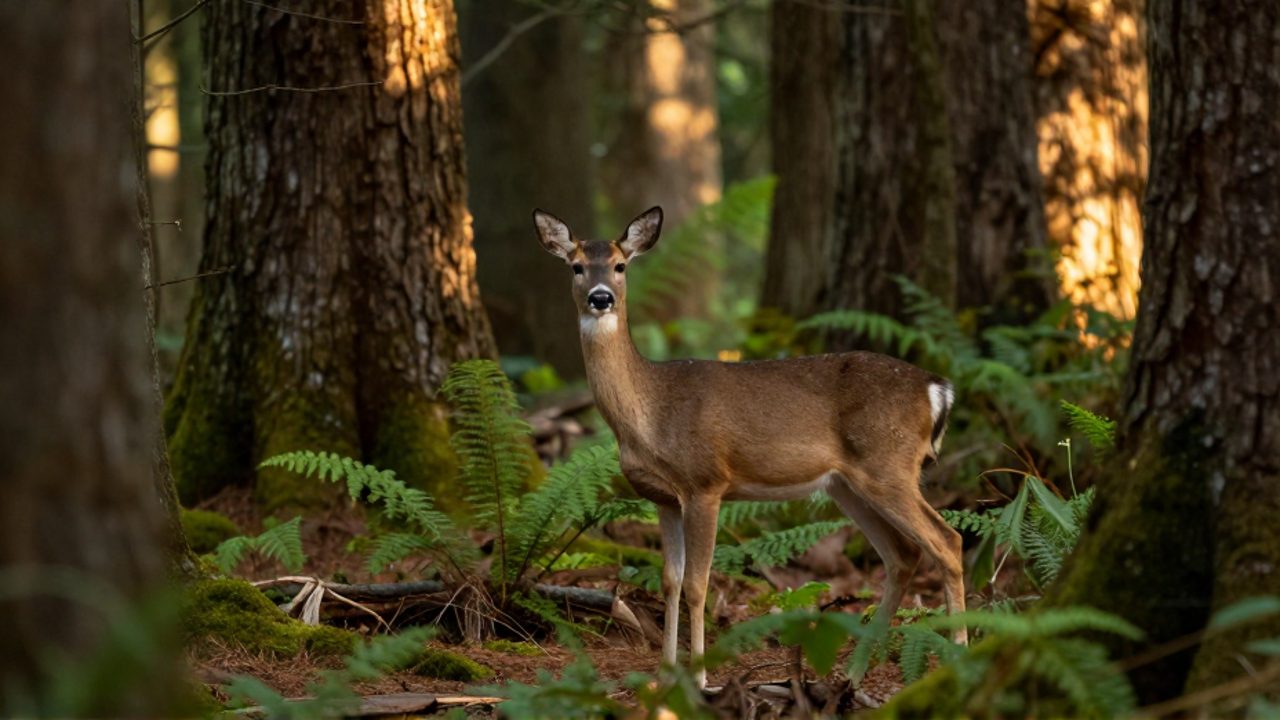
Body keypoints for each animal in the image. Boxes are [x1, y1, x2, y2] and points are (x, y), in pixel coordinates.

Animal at [533, 206, 967, 689]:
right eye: (576, 266)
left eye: (620, 265)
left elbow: (698, 583)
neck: (650, 411)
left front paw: (700, 678)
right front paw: (665, 675)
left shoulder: (705, 482)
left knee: (948, 541)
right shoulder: (663, 497)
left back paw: (960, 659)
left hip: (888, 465)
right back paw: (852, 675)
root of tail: (937, 388)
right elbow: (669, 580)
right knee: (903, 555)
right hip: (848, 484)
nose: (601, 297)